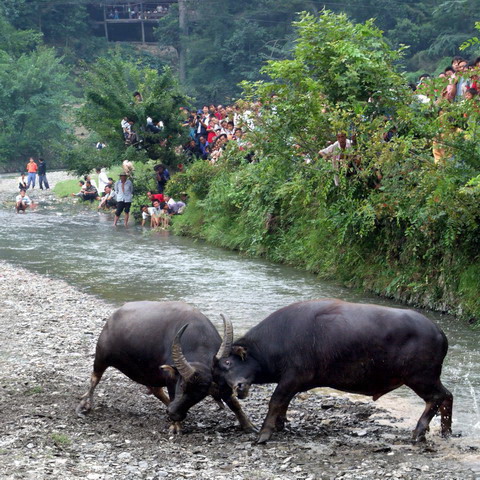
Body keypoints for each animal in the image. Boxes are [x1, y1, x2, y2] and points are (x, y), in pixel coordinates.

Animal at [76, 302, 253, 434]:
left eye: (202, 393)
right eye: (182, 385)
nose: (174, 413)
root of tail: (112, 318)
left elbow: (233, 402)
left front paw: (248, 425)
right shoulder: (171, 378)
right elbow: (173, 394)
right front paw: (176, 426)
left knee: (156, 390)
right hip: (101, 356)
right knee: (94, 378)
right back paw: (85, 404)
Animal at [215, 300, 454, 442]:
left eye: (228, 363)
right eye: (219, 373)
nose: (238, 387)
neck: (279, 339)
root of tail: (440, 333)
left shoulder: (292, 377)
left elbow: (276, 401)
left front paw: (264, 434)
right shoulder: (292, 382)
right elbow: (284, 403)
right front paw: (281, 425)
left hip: (420, 377)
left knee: (437, 397)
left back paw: (418, 432)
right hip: (427, 377)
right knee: (447, 396)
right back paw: (446, 431)